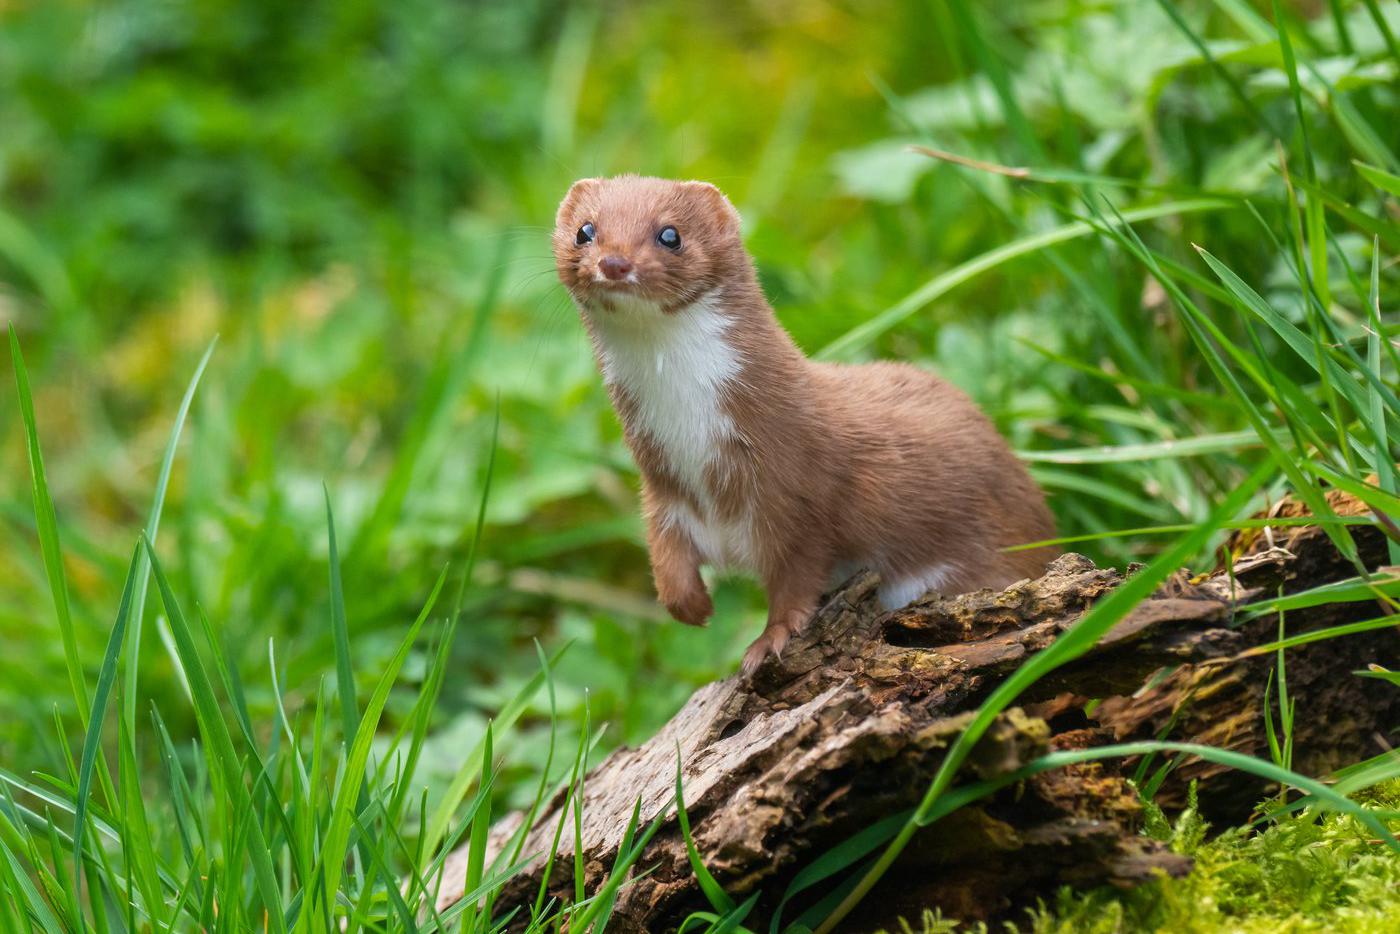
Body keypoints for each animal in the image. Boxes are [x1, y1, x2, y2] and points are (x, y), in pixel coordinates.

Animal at [551, 175, 1052, 672]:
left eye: (670, 234)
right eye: (585, 231)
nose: (614, 262)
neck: (693, 439)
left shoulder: (797, 490)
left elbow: (798, 577)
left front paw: (768, 640)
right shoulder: (664, 491)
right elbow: (666, 558)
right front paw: (694, 607)